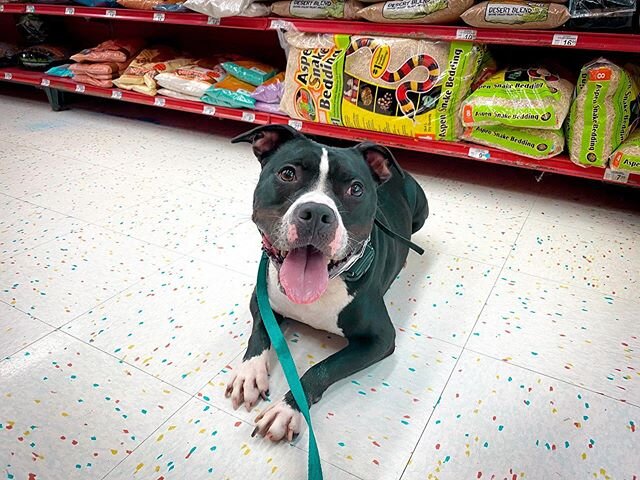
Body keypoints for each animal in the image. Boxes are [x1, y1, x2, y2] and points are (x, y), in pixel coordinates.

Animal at [228, 124, 428, 442]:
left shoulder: (380, 339)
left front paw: (287, 409)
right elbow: (260, 334)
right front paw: (249, 373)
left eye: (356, 189)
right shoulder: (261, 299)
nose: (317, 213)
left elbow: (322, 368)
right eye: (287, 174)